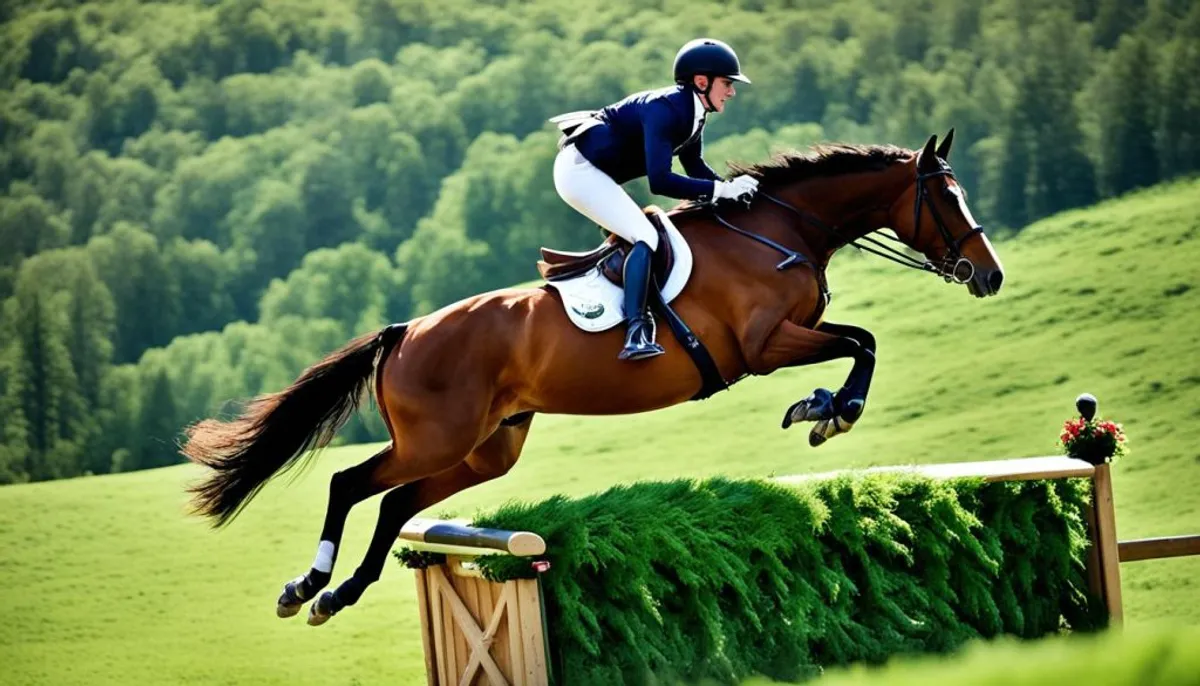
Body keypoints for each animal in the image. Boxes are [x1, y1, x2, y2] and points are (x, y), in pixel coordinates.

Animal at [177, 130, 1003, 628]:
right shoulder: (766, 344)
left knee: (396, 505)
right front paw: (829, 410)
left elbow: (861, 341)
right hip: (435, 438)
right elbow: (863, 343)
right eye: (947, 199)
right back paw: (305, 588)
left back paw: (340, 594)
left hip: (485, 448)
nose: (989, 275)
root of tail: (406, 332)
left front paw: (823, 407)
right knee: (350, 484)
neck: (779, 231)